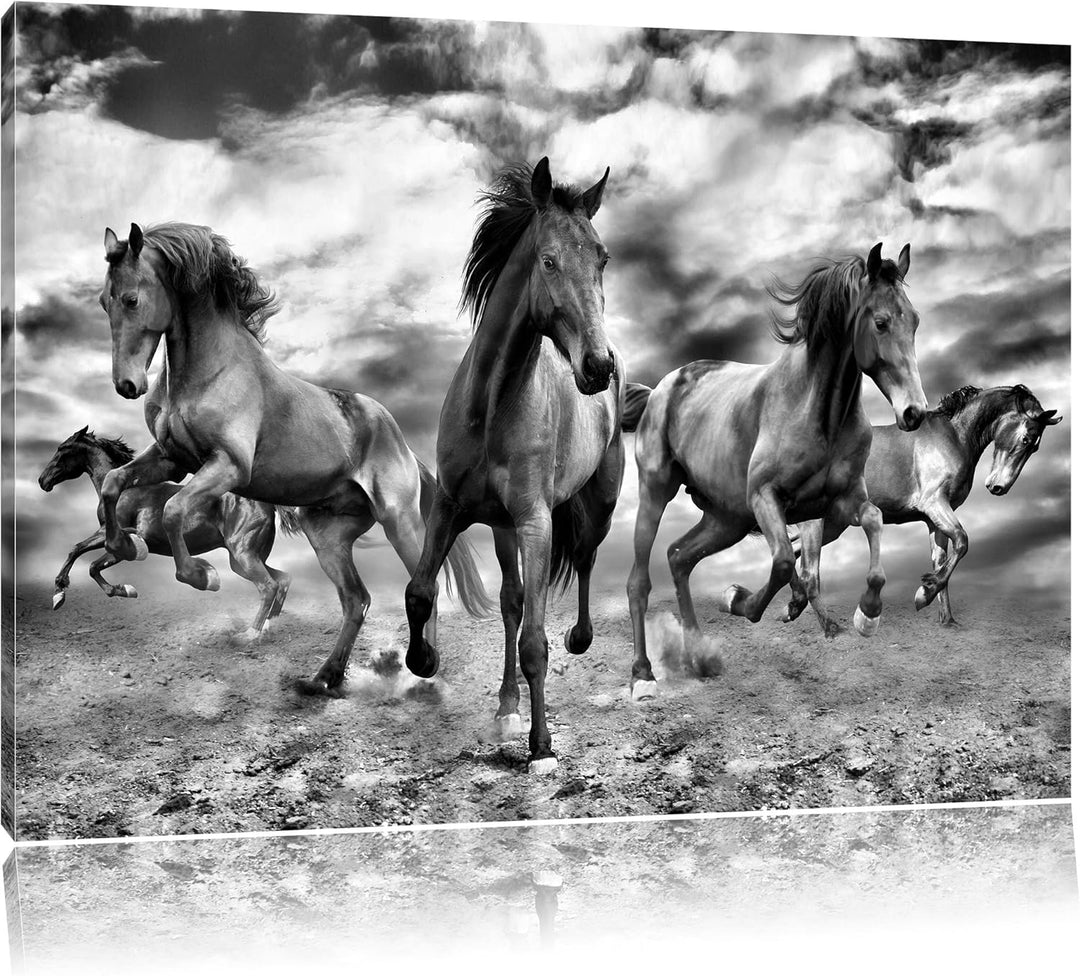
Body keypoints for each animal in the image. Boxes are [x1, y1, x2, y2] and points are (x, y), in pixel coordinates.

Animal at [37, 426, 294, 640]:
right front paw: (122, 590)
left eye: (62, 449)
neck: (123, 490)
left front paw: (59, 593)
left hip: (243, 555)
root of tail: (267, 505)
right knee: (282, 579)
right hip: (242, 559)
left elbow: (80, 551)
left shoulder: (112, 535)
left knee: (268, 586)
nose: (42, 480)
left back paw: (250, 634)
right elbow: (91, 565)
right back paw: (269, 625)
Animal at [96, 221, 492, 693]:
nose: (126, 385)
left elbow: (173, 509)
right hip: (326, 533)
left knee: (421, 584)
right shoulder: (171, 459)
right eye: (103, 301)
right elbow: (113, 484)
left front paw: (203, 576)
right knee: (357, 599)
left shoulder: (228, 466)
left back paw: (424, 669)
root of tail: (404, 446)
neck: (209, 372)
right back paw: (325, 678)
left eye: (131, 299)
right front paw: (124, 546)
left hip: (399, 519)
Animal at [403, 157, 623, 774]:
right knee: (510, 602)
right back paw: (506, 704)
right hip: (499, 527)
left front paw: (541, 746)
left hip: (596, 504)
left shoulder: (535, 521)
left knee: (586, 559)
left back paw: (579, 639)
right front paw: (423, 661)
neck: (491, 406)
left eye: (602, 258)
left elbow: (535, 642)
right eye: (548, 260)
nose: (598, 366)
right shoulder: (450, 506)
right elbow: (420, 592)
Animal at [623, 244, 928, 699]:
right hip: (657, 492)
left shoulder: (843, 501)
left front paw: (868, 614)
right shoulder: (765, 498)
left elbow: (871, 521)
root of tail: (660, 389)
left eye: (915, 320)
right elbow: (784, 561)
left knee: (679, 557)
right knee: (639, 580)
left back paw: (700, 658)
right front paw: (739, 600)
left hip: (726, 519)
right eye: (881, 322)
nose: (914, 413)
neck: (818, 413)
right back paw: (643, 675)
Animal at [784, 384, 1062, 630]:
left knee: (792, 556)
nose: (998, 487)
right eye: (1026, 439)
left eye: (1035, 446)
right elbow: (963, 541)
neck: (953, 435)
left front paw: (947, 620)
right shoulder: (935, 504)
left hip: (831, 526)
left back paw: (794, 608)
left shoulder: (933, 520)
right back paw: (830, 627)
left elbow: (942, 561)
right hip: (816, 524)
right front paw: (923, 594)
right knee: (809, 573)